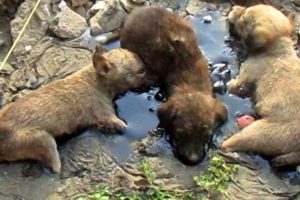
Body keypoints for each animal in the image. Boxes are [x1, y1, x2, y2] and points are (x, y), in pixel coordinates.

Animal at [0, 47, 145, 172]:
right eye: (140, 72)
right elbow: (124, 126)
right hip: (43, 140)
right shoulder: (107, 115)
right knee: (55, 168)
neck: (96, 80)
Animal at [219, 5, 300, 167]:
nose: (233, 7)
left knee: (234, 143)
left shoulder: (248, 70)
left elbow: (235, 84)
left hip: (263, 132)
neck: (277, 48)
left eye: (244, 18)